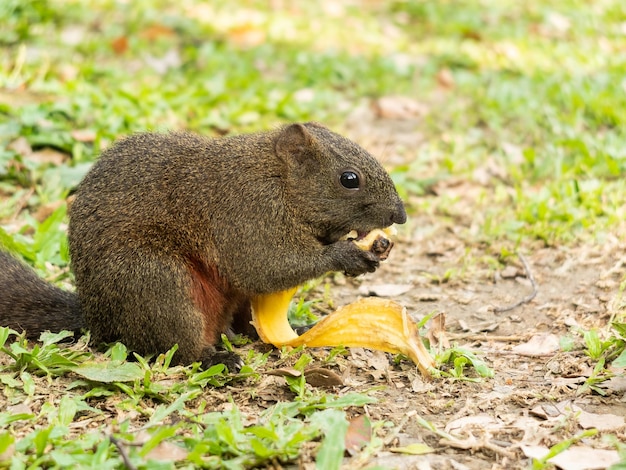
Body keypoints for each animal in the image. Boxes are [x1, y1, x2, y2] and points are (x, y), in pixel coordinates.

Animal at [0, 122, 404, 370]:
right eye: (349, 179)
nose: (399, 214)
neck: (278, 178)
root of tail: (97, 318)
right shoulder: (247, 213)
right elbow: (267, 266)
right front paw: (348, 255)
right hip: (156, 282)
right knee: (177, 345)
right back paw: (216, 359)